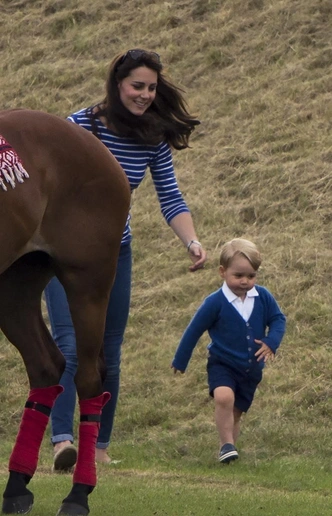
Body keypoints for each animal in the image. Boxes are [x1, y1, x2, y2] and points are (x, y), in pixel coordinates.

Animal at [0, 107, 131, 512]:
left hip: (88, 282)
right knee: (45, 365)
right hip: (14, 285)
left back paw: (78, 494)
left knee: (88, 377)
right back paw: (16, 486)